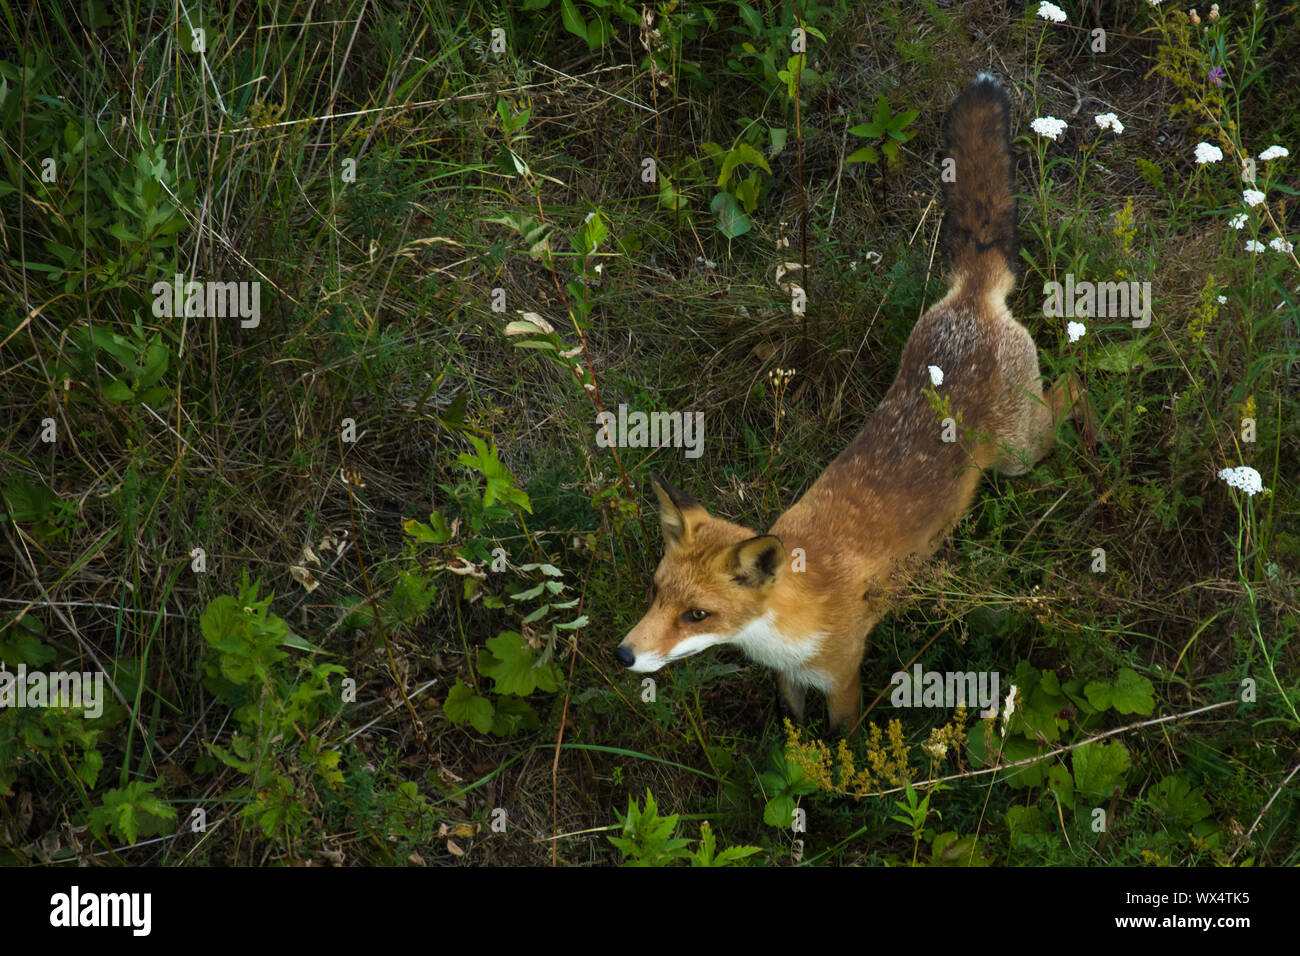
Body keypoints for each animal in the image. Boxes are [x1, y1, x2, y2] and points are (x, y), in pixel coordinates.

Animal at [613, 74, 1081, 733]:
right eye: (656, 593)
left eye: (697, 615)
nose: (624, 654)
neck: (787, 623)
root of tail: (971, 298)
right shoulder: (787, 678)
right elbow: (790, 728)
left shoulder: (844, 677)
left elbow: (840, 741)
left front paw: (841, 764)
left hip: (1023, 449)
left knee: (1071, 392)